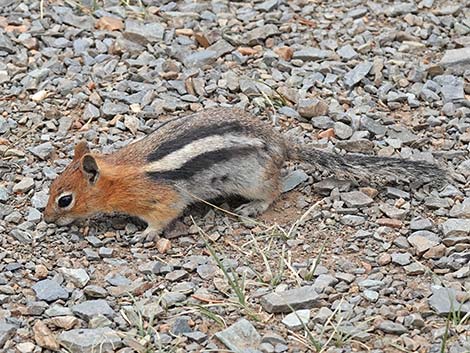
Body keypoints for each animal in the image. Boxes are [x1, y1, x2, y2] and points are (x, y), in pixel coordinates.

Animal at [43, 106, 444, 241]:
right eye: (51, 189)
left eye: (65, 200)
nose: (45, 219)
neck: (119, 178)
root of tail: (282, 144)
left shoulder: (161, 198)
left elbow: (164, 216)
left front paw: (146, 235)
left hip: (253, 180)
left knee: (274, 191)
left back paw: (252, 207)